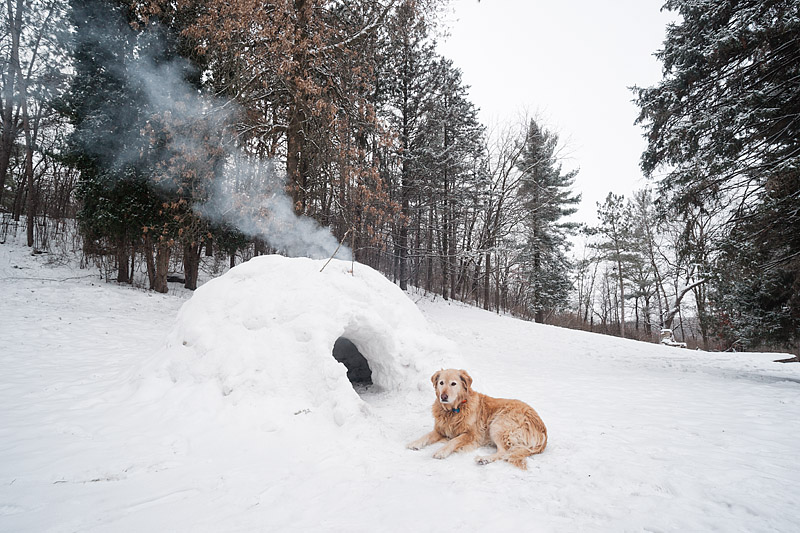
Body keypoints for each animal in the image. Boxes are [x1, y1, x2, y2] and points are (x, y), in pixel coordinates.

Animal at [410, 368, 548, 468]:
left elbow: (454, 441)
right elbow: (427, 436)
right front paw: (415, 443)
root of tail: (543, 432)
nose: (443, 397)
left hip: (498, 424)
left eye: (453, 384)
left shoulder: (472, 434)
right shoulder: (440, 430)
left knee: (504, 451)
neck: (455, 410)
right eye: (441, 383)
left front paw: (441, 451)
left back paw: (484, 459)